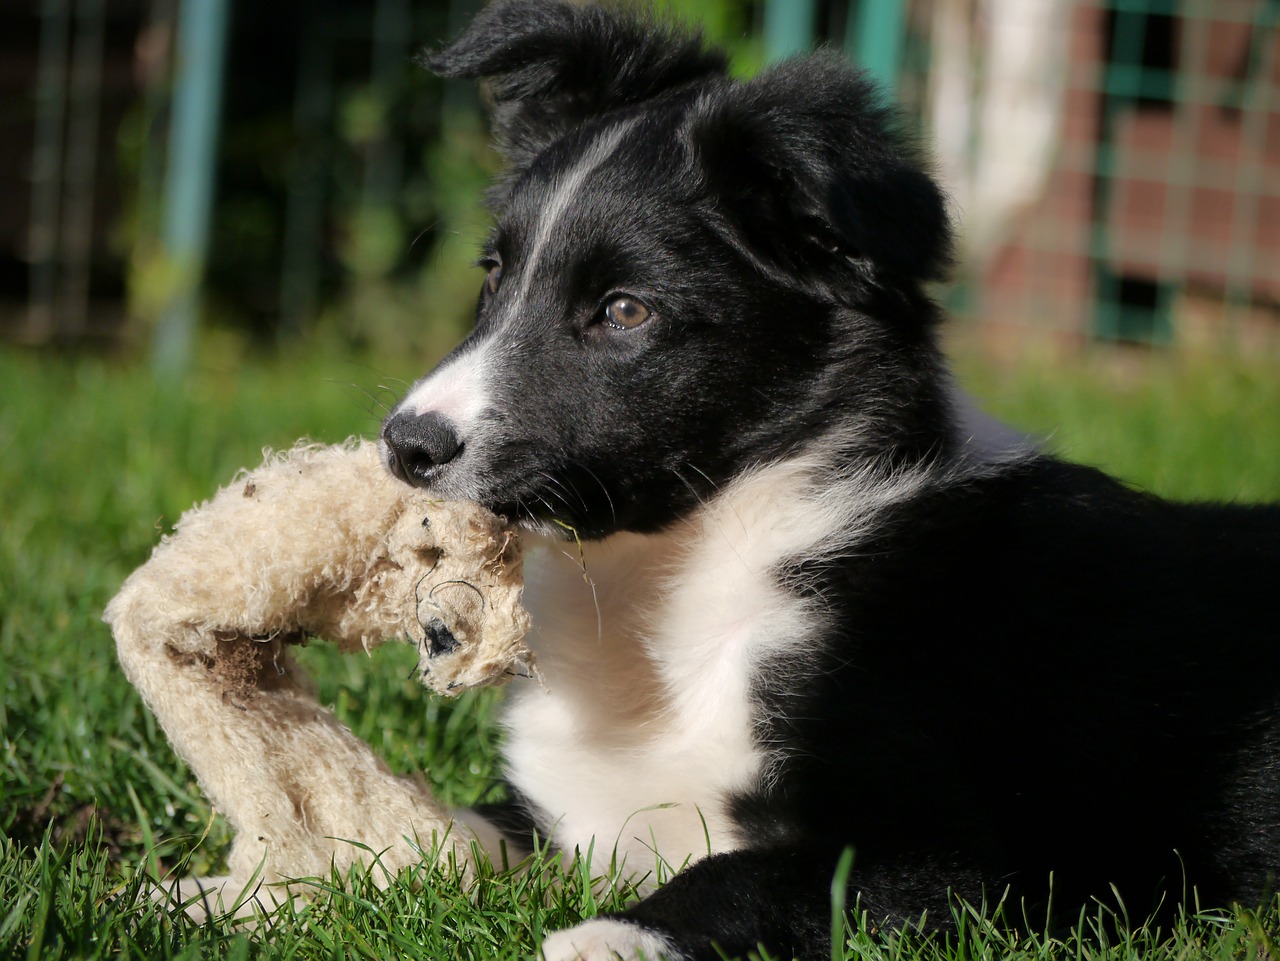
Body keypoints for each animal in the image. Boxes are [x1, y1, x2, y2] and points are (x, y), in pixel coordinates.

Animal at [378, 1, 1280, 961]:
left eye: (625, 310)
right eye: (494, 275)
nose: (405, 445)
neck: (678, 573)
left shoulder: (954, 862)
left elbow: (736, 878)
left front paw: (606, 936)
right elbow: (437, 826)